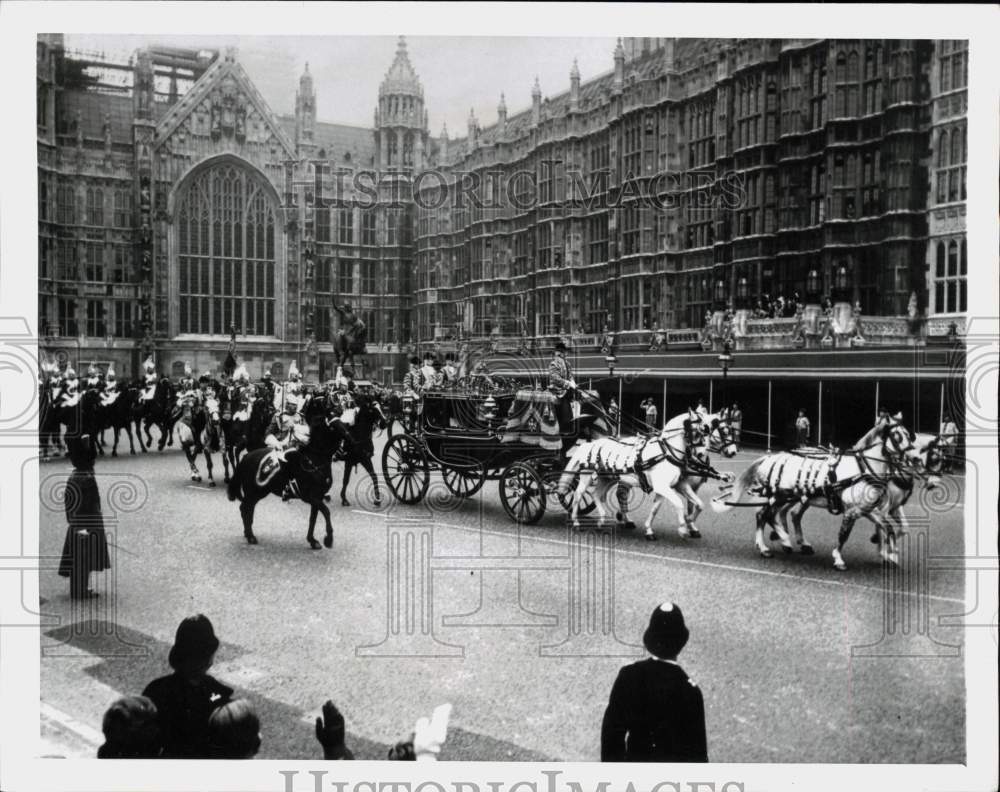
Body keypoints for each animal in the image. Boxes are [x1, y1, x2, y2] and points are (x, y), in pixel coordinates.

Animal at [226, 406, 348, 548]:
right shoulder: (310, 497)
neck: (314, 461)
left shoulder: (318, 496)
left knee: (248, 509)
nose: (348, 436)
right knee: (245, 508)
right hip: (253, 491)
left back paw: (248, 534)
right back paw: (251, 537)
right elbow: (326, 512)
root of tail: (246, 457)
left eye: (341, 421)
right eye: (333, 426)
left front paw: (312, 540)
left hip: (259, 492)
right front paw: (328, 539)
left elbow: (313, 518)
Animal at [560, 412, 740, 540]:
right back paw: (576, 521)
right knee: (578, 495)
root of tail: (590, 443)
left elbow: (659, 509)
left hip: (608, 478)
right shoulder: (670, 487)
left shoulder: (669, 487)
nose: (700, 455)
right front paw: (684, 527)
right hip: (586, 477)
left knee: (599, 495)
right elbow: (680, 504)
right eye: (697, 432)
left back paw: (604, 519)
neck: (667, 452)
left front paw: (651, 530)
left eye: (708, 432)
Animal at [708, 420, 924, 568]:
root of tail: (769, 458)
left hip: (783, 497)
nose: (914, 458)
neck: (862, 470)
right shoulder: (852, 511)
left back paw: (786, 540)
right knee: (764, 515)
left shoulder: (869, 509)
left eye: (909, 435)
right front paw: (838, 558)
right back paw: (770, 545)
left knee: (775, 515)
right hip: (777, 495)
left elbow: (888, 528)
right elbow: (844, 535)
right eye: (897, 436)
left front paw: (890, 554)